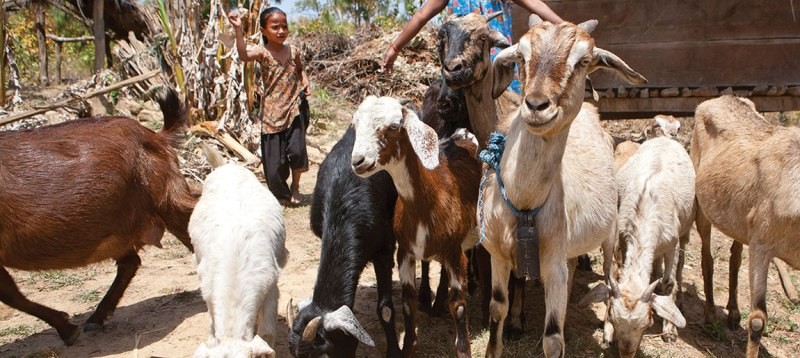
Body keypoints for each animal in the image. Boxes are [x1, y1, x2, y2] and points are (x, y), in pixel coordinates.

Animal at [0, 86, 195, 344]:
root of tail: (153, 136)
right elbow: (10, 294)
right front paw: (67, 327)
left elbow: (10, 294)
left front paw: (66, 329)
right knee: (130, 262)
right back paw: (97, 317)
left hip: (166, 198)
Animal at [478, 19, 648, 358]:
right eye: (521, 56)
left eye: (584, 61)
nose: (536, 105)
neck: (524, 204)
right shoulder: (498, 255)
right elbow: (497, 308)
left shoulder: (553, 262)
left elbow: (553, 337)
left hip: (608, 235)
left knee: (610, 278)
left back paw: (608, 331)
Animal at [580, 136, 692, 356]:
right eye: (612, 317)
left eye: (647, 324)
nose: (626, 354)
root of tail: (665, 138)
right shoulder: (623, 239)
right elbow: (616, 273)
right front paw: (608, 334)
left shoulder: (671, 243)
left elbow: (668, 282)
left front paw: (669, 330)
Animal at [692, 95, 800, 358]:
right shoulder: (762, 243)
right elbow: (758, 319)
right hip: (701, 205)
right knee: (707, 256)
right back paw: (710, 314)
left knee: (735, 258)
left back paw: (733, 314)